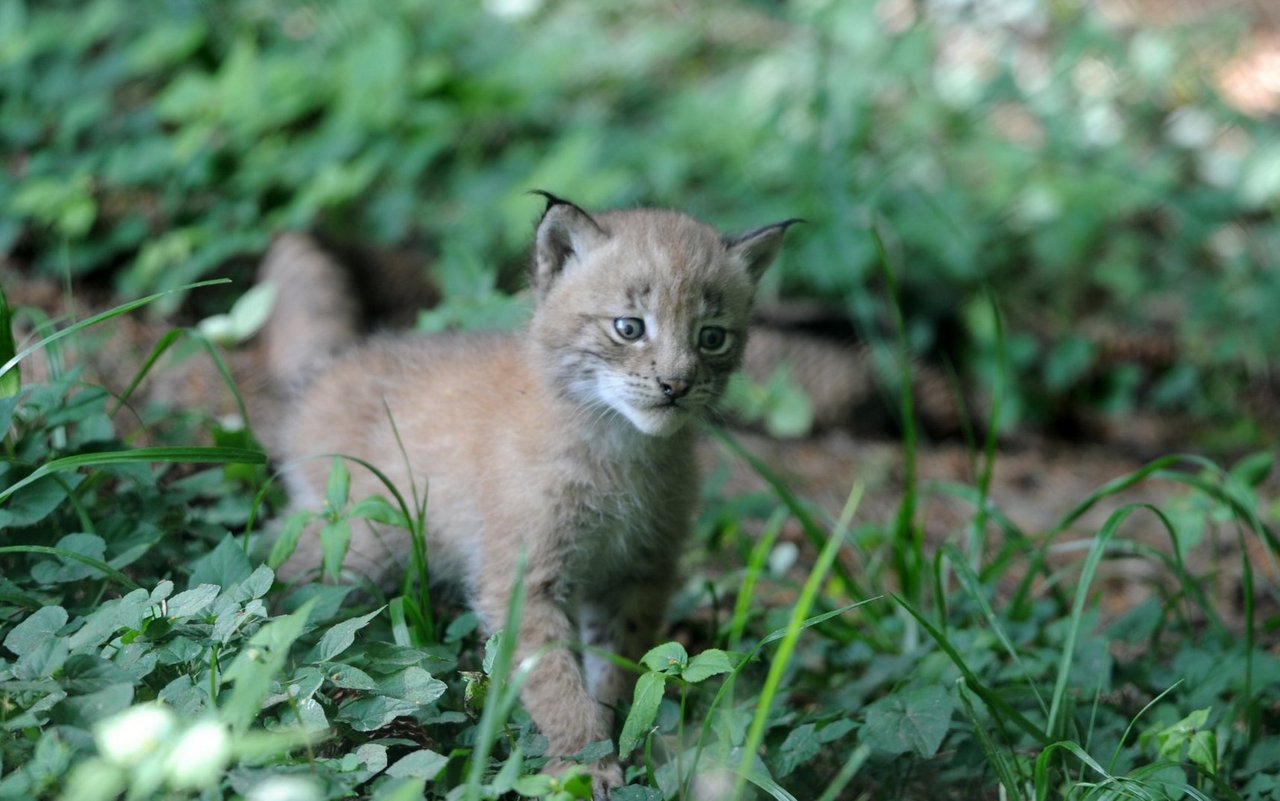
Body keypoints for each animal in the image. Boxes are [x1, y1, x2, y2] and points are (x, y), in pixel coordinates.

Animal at [266, 191, 793, 793]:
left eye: (712, 337)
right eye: (629, 328)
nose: (677, 386)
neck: (618, 441)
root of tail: (325, 374)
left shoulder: (640, 571)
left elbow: (621, 661)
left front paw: (619, 735)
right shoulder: (524, 579)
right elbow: (553, 679)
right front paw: (586, 765)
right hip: (359, 541)